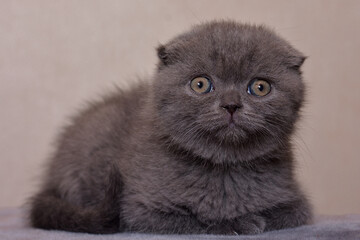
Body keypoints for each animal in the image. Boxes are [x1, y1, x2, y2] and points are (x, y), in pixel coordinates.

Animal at [28, 20, 312, 234]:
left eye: (260, 87)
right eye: (200, 84)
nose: (231, 104)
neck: (225, 169)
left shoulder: (298, 203)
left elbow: (288, 214)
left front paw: (252, 219)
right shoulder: (140, 208)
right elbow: (193, 222)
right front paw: (236, 223)